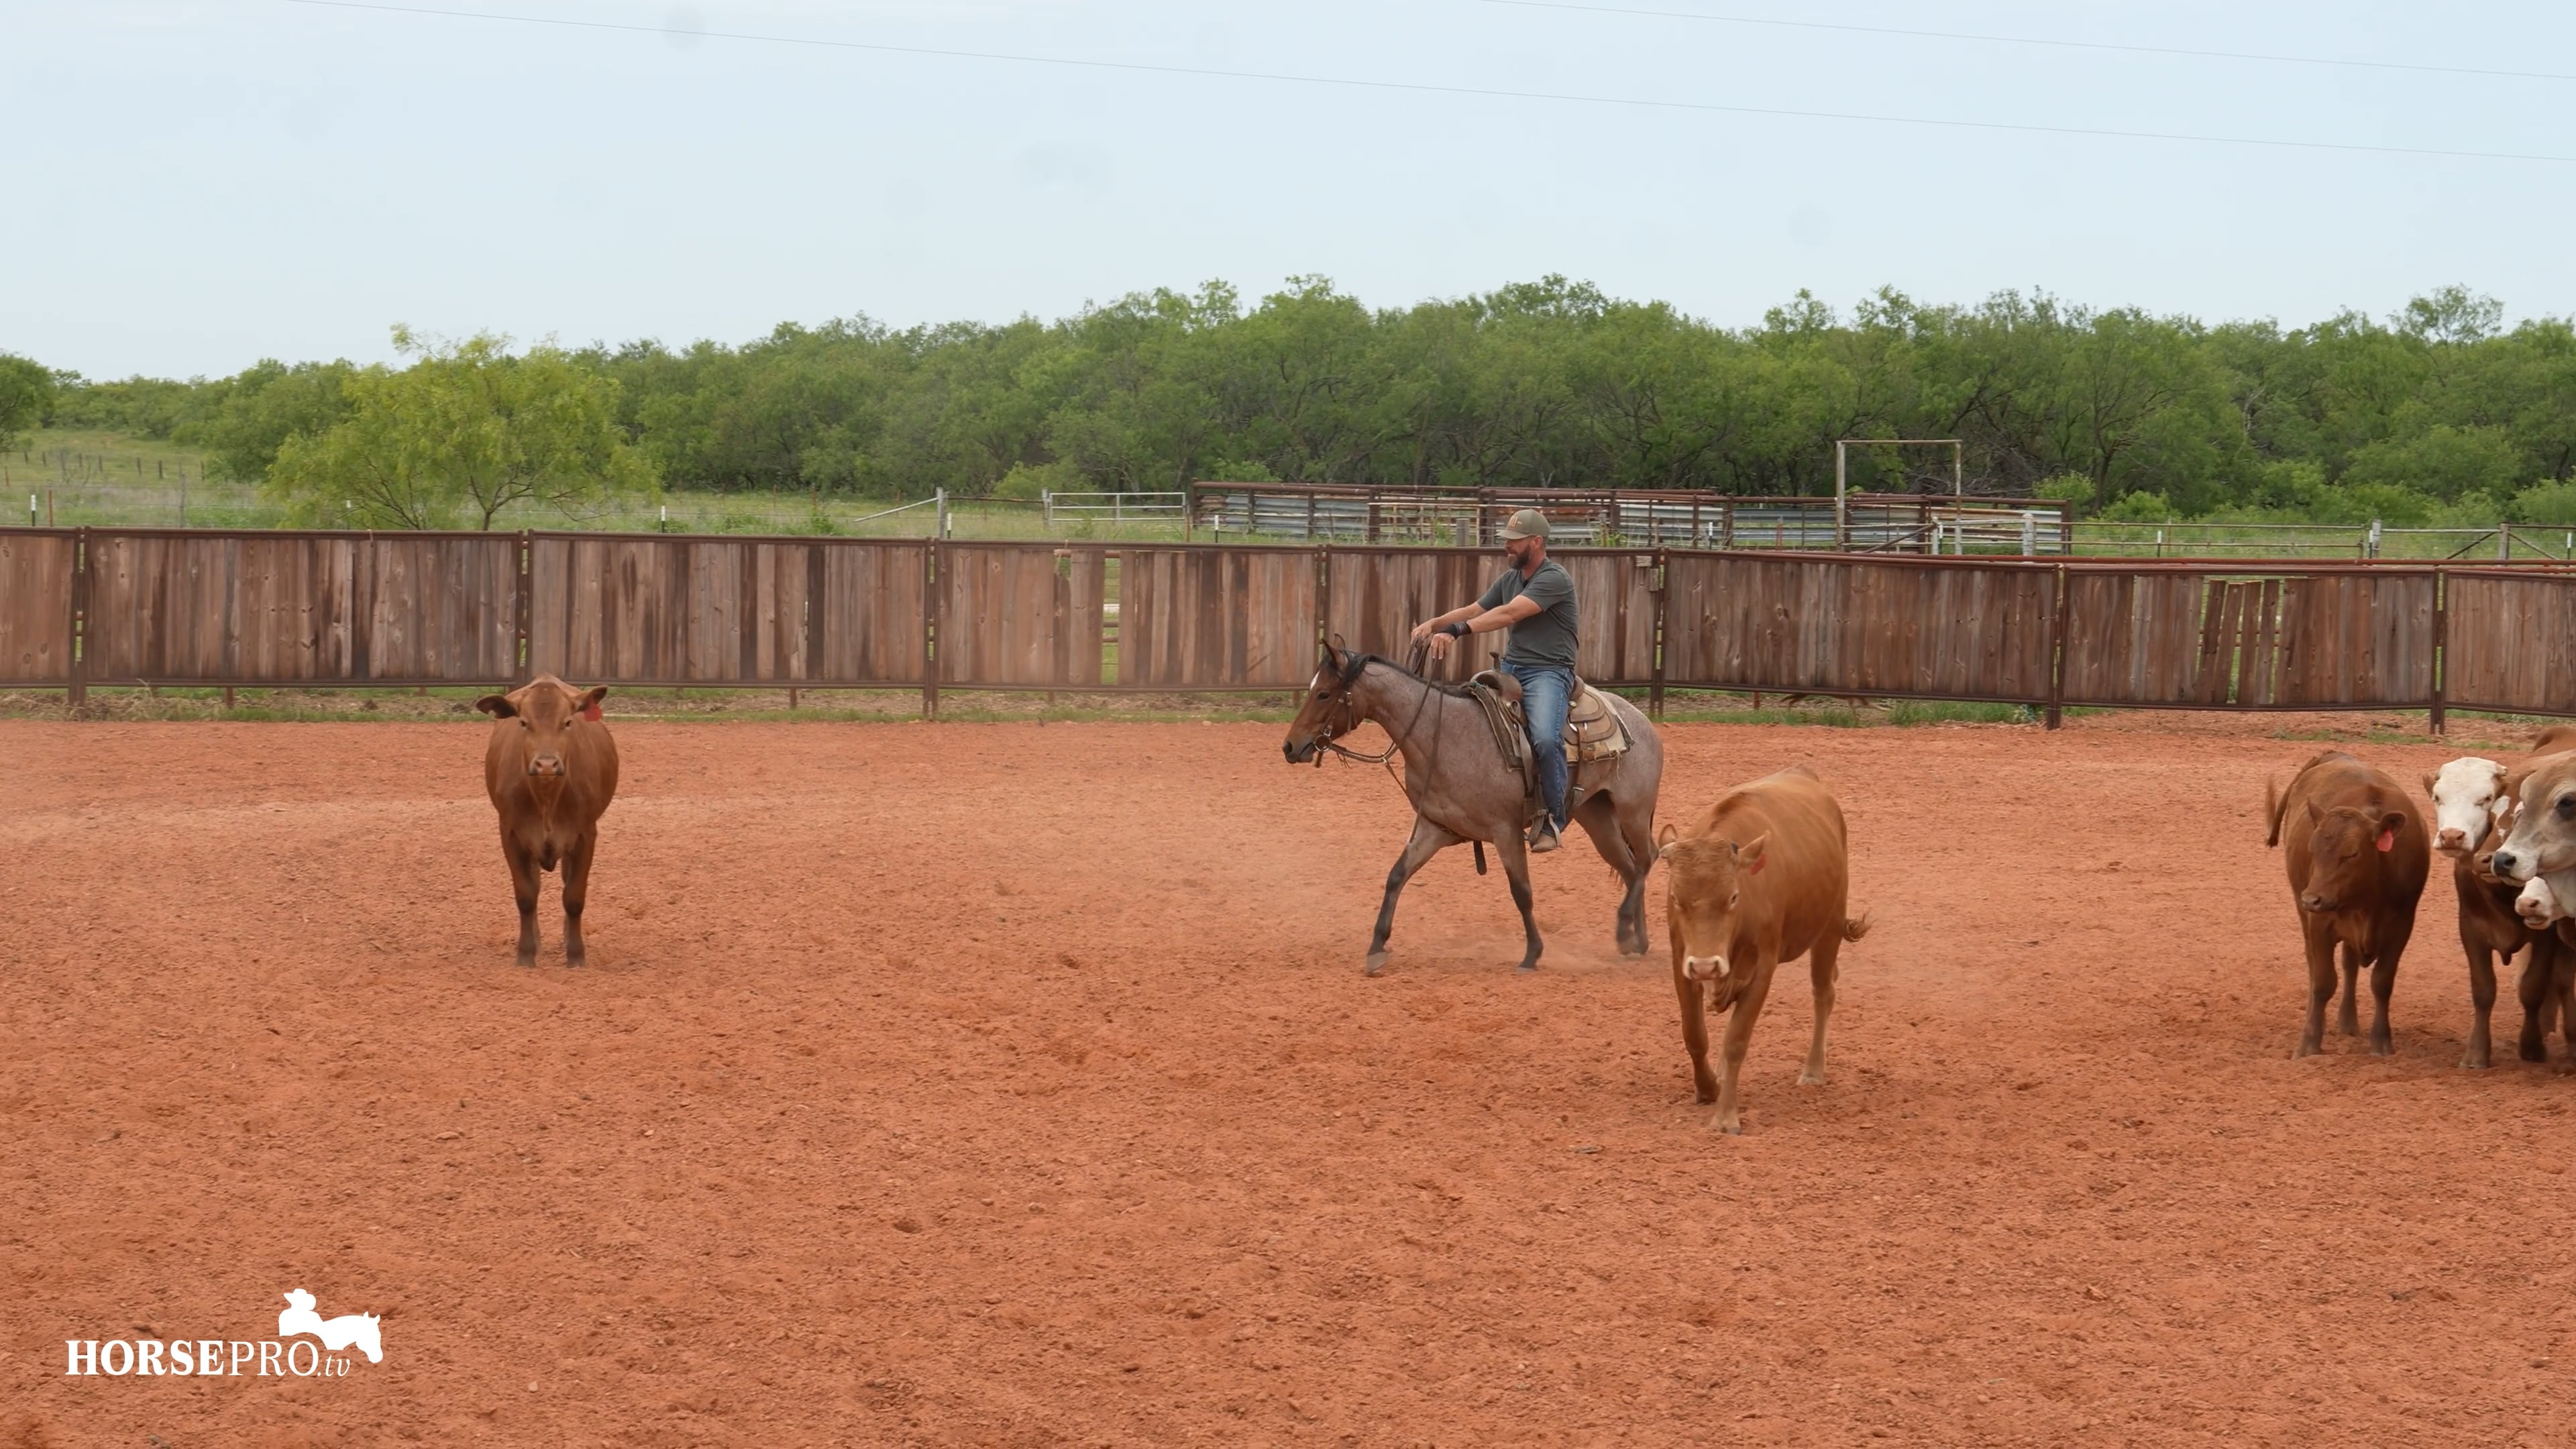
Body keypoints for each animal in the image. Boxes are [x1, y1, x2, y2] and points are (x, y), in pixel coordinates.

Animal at [474, 675, 620, 968]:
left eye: (568, 722)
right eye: (523, 722)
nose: (547, 764)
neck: (547, 800)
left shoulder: (586, 835)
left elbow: (574, 897)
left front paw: (576, 955)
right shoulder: (511, 834)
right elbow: (526, 896)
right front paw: (526, 954)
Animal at [1652, 766, 1870, 1136]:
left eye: (1733, 897)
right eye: (1676, 899)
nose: (1707, 966)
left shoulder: (1762, 970)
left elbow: (1737, 1040)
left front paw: (1726, 1116)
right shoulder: (1682, 962)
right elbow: (1694, 1033)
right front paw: (1708, 1087)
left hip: (1829, 925)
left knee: (1824, 992)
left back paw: (1813, 1069)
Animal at [2265, 751, 2430, 1058]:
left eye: (2352, 854)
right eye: (2313, 849)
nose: (2311, 898)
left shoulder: (2402, 926)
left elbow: (2382, 983)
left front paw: (2381, 1041)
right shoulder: (2320, 923)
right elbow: (2322, 982)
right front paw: (2309, 1043)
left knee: (2350, 965)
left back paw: (2348, 1022)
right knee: (2314, 965)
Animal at [2424, 756, 2566, 1066]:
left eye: (2486, 798)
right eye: (2438, 798)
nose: (2452, 836)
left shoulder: (2545, 934)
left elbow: (2532, 988)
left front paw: (2532, 1047)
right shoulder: (2471, 928)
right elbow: (2483, 989)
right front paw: (2477, 1053)